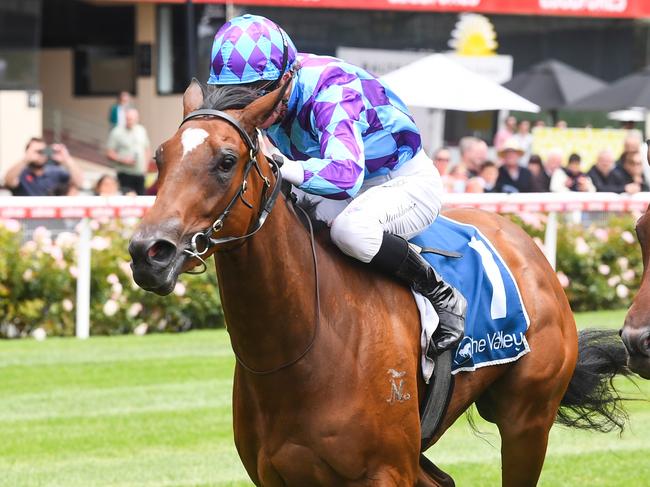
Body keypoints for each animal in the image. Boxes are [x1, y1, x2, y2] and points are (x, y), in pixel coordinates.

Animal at [126, 82, 628, 486]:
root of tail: (527, 245)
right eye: (160, 157)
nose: (149, 252)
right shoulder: (276, 475)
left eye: (227, 160)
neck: (304, 346)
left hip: (527, 419)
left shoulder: (386, 471)